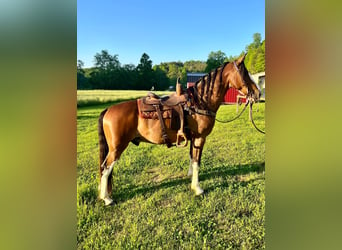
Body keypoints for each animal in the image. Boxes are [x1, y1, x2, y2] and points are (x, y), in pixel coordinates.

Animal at [97, 53, 260, 205]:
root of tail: (108, 110)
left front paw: (191, 178)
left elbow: (192, 158)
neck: (199, 102)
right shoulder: (200, 138)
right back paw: (107, 198)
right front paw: (197, 188)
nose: (258, 93)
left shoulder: (193, 138)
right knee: (105, 168)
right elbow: (197, 162)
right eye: (245, 73)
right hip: (117, 148)